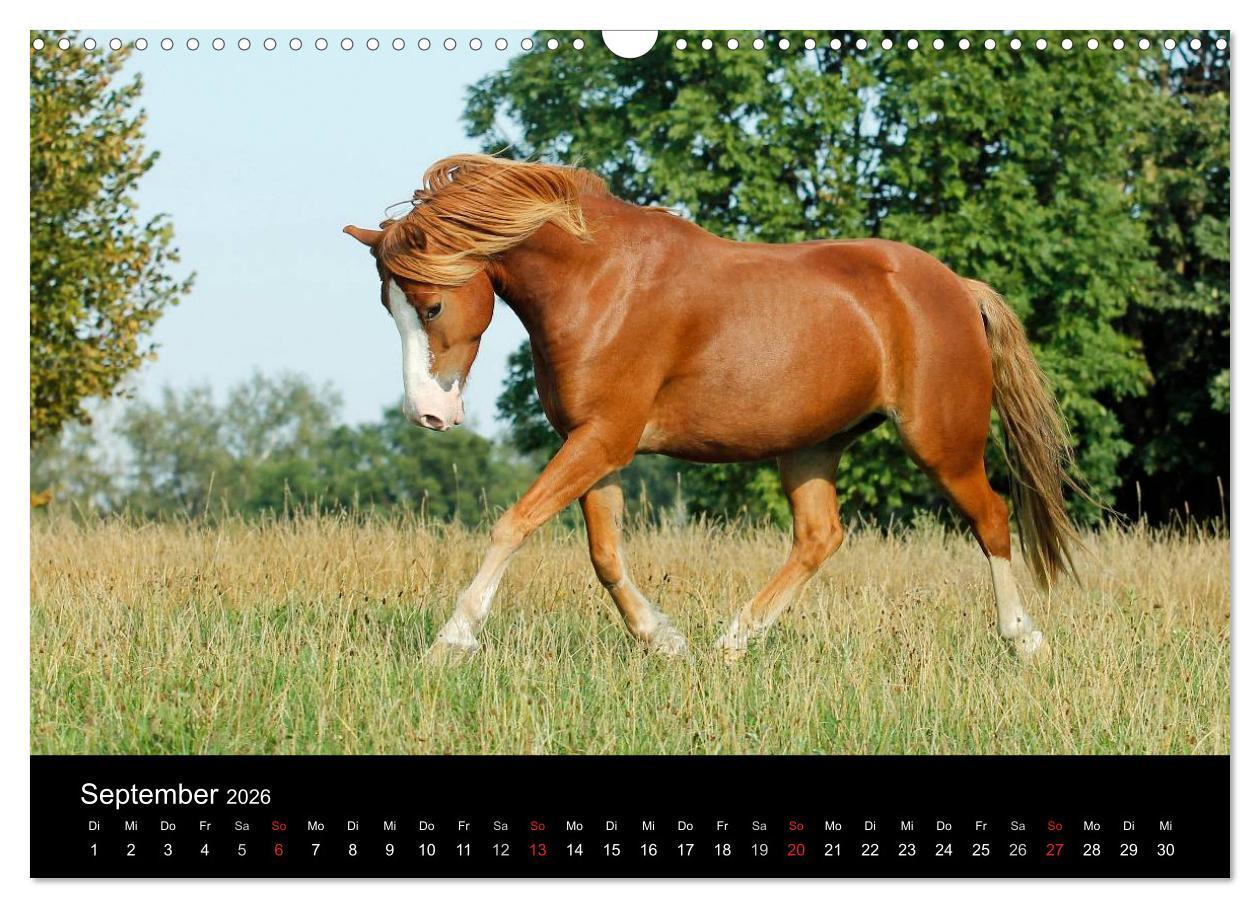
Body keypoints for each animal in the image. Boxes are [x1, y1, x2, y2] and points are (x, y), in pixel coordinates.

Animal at [344, 154, 1079, 661]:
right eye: (386, 305)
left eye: (431, 305)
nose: (428, 415)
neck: (600, 283)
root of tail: (956, 286)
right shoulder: (597, 446)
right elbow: (605, 555)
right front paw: (663, 640)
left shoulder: (602, 439)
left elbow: (513, 525)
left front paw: (452, 639)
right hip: (811, 445)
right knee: (819, 536)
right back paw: (732, 643)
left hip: (941, 443)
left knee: (991, 519)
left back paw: (1024, 640)